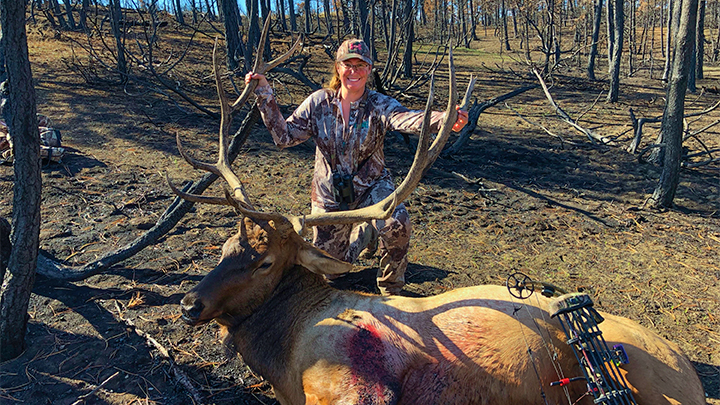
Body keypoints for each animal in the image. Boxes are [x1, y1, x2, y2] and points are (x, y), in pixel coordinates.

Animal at [169, 22, 704, 404]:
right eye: (226, 246)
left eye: (264, 261)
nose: (189, 303)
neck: (284, 353)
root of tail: (693, 373)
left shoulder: (356, 380)